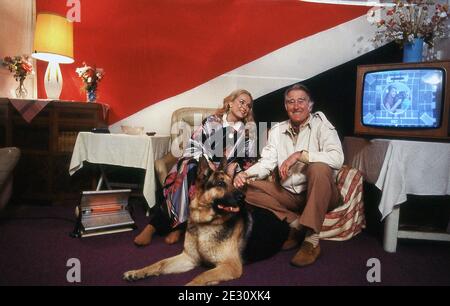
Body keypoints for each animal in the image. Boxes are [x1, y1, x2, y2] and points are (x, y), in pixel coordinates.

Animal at [123, 157, 288, 286]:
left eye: (232, 183)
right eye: (220, 184)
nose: (243, 197)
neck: (205, 223)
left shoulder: (230, 266)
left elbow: (201, 276)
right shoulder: (189, 258)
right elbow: (160, 263)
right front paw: (137, 272)